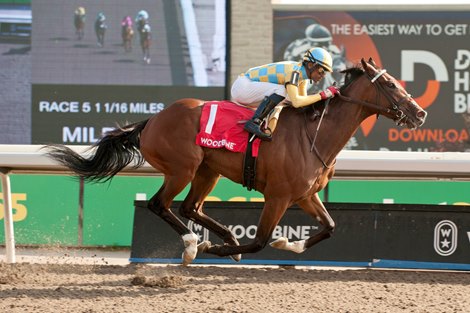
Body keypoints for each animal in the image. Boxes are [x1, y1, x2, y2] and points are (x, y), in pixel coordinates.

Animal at [44, 58, 426, 264]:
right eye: (391, 85)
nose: (419, 113)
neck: (314, 134)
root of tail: (151, 120)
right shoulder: (279, 196)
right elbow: (259, 240)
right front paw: (223, 247)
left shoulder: (305, 194)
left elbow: (329, 226)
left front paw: (289, 243)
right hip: (182, 168)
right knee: (158, 204)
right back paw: (194, 245)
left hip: (207, 170)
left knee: (189, 207)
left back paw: (219, 237)